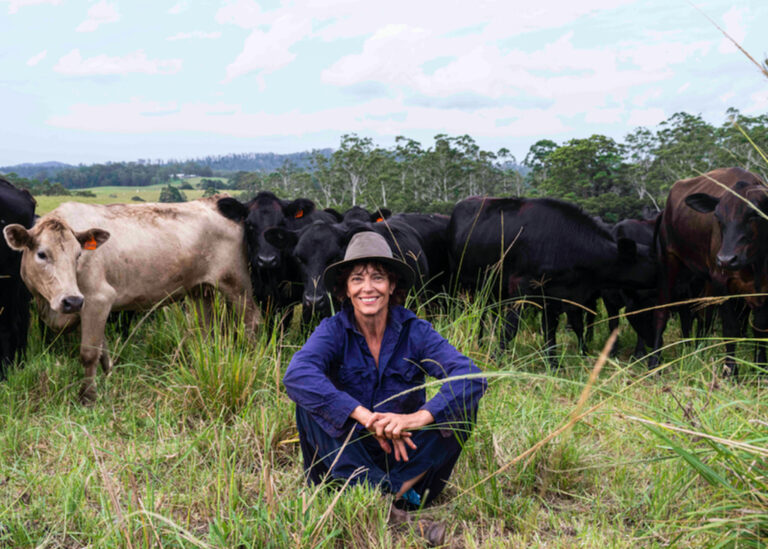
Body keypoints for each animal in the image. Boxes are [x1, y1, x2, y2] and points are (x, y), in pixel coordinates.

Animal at [2, 195, 260, 400]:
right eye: (42, 254)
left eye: (78, 255)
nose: (71, 300)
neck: (47, 305)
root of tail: (212, 202)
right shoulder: (91, 307)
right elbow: (103, 349)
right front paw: (109, 376)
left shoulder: (97, 299)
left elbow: (89, 352)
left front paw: (88, 396)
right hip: (200, 290)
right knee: (205, 329)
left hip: (237, 283)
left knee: (251, 322)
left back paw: (252, 358)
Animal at [450, 197, 656, 364]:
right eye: (655, 263)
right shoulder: (521, 287)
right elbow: (511, 328)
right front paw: (495, 359)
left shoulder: (556, 296)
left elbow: (554, 329)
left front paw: (557, 362)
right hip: (467, 285)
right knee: (480, 315)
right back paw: (480, 343)